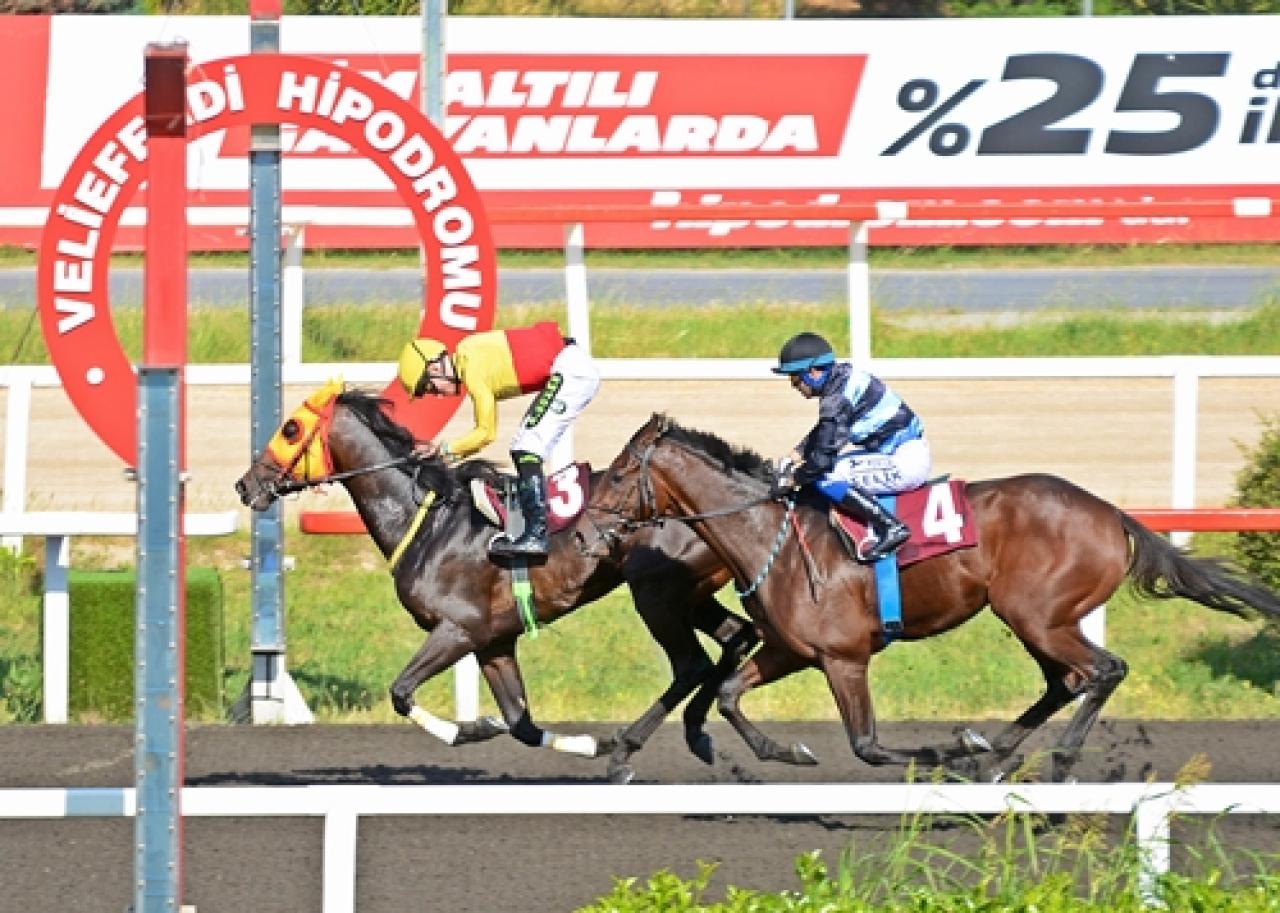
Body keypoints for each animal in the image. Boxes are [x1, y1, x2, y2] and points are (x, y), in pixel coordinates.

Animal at [236, 381, 814, 778]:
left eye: (290, 429)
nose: (246, 485)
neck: (429, 520)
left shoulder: (458, 629)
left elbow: (400, 692)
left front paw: (470, 729)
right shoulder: (494, 641)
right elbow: (519, 722)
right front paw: (581, 742)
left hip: (657, 595)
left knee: (692, 663)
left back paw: (631, 749)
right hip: (690, 594)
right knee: (736, 638)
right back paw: (698, 735)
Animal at [586, 412, 1280, 778]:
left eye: (618, 475)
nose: (589, 533)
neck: (768, 537)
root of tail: (1111, 513)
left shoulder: (844, 658)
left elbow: (867, 745)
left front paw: (941, 751)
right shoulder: (793, 650)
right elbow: (730, 693)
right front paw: (787, 751)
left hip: (1038, 615)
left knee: (1103, 671)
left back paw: (1051, 760)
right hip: (1036, 619)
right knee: (1065, 682)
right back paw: (991, 752)